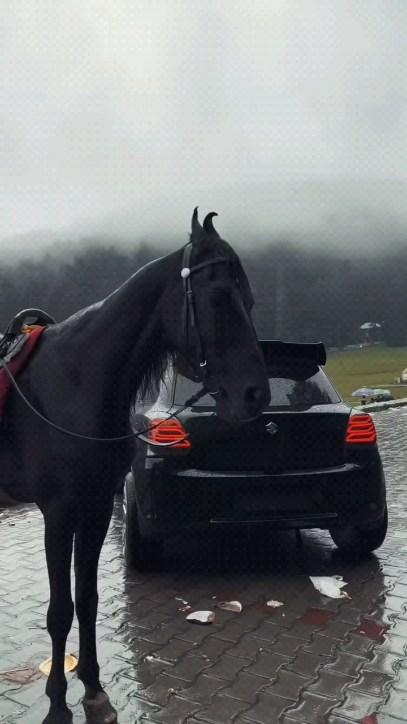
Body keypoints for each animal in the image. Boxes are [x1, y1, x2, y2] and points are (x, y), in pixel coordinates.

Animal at [0, 206, 272, 720]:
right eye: (218, 296)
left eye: (249, 298)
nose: (254, 395)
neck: (76, 382)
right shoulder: (58, 514)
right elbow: (60, 610)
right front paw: (58, 703)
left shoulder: (96, 508)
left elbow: (86, 599)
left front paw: (92, 688)